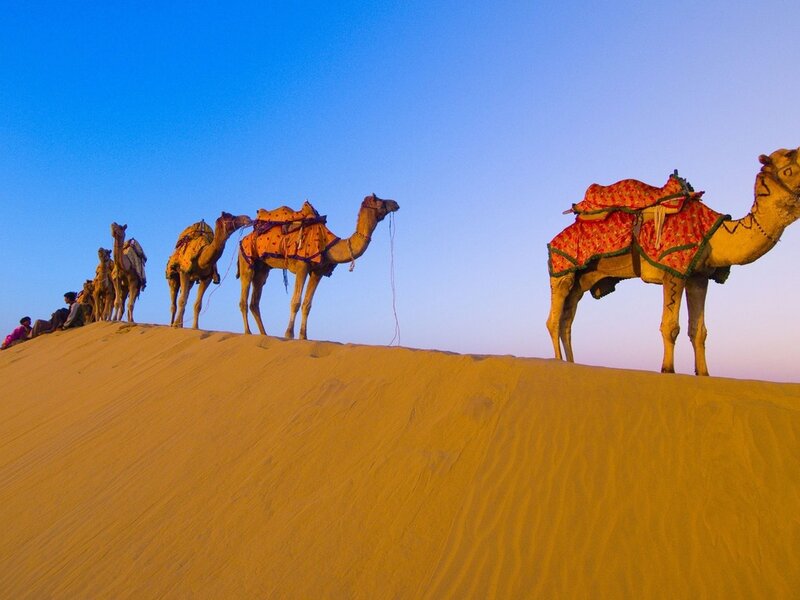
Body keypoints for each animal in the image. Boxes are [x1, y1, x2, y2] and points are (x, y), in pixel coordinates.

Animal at [238, 194, 399, 340]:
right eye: (379, 199)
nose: (395, 203)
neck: (329, 244)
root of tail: (244, 238)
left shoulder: (317, 272)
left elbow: (307, 305)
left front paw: (303, 337)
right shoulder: (302, 266)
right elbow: (295, 302)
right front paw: (289, 334)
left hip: (262, 269)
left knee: (255, 301)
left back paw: (263, 334)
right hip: (247, 261)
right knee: (244, 299)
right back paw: (248, 332)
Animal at [546, 147, 800, 376]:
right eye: (788, 166)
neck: (716, 235)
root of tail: (553, 239)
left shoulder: (698, 276)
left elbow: (698, 331)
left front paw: (703, 373)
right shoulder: (673, 269)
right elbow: (670, 326)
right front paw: (668, 369)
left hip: (584, 278)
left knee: (567, 321)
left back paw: (571, 363)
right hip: (563, 270)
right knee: (554, 320)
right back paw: (558, 361)